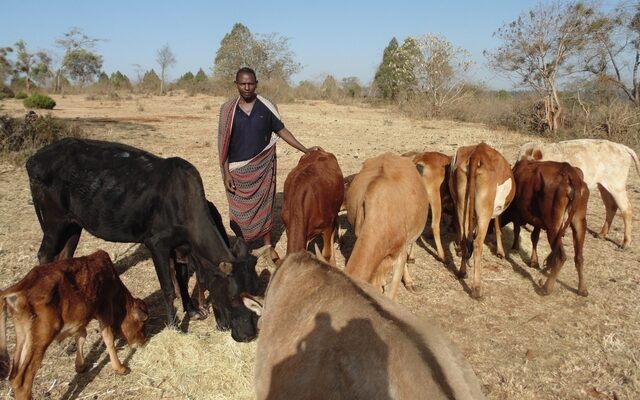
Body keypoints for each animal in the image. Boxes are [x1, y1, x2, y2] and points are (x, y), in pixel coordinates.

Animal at [25, 138, 260, 340]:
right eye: (234, 297)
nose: (249, 335)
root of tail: (35, 157)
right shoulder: (157, 244)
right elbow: (168, 287)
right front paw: (174, 326)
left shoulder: (179, 247)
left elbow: (182, 278)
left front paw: (192, 310)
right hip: (53, 223)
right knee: (44, 256)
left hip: (73, 225)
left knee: (63, 257)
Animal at [448, 142, 516, 298]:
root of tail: (478, 152)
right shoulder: (495, 211)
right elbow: (497, 227)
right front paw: (500, 252)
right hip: (485, 210)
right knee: (478, 243)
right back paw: (476, 289)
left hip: (461, 204)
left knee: (464, 237)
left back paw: (462, 271)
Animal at [504, 160, 592, 296]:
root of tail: (570, 172)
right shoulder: (537, 220)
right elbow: (534, 237)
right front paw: (534, 261)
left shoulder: (517, 212)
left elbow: (517, 230)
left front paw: (514, 247)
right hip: (579, 222)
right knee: (579, 257)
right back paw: (582, 289)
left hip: (553, 227)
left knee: (561, 256)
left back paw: (546, 287)